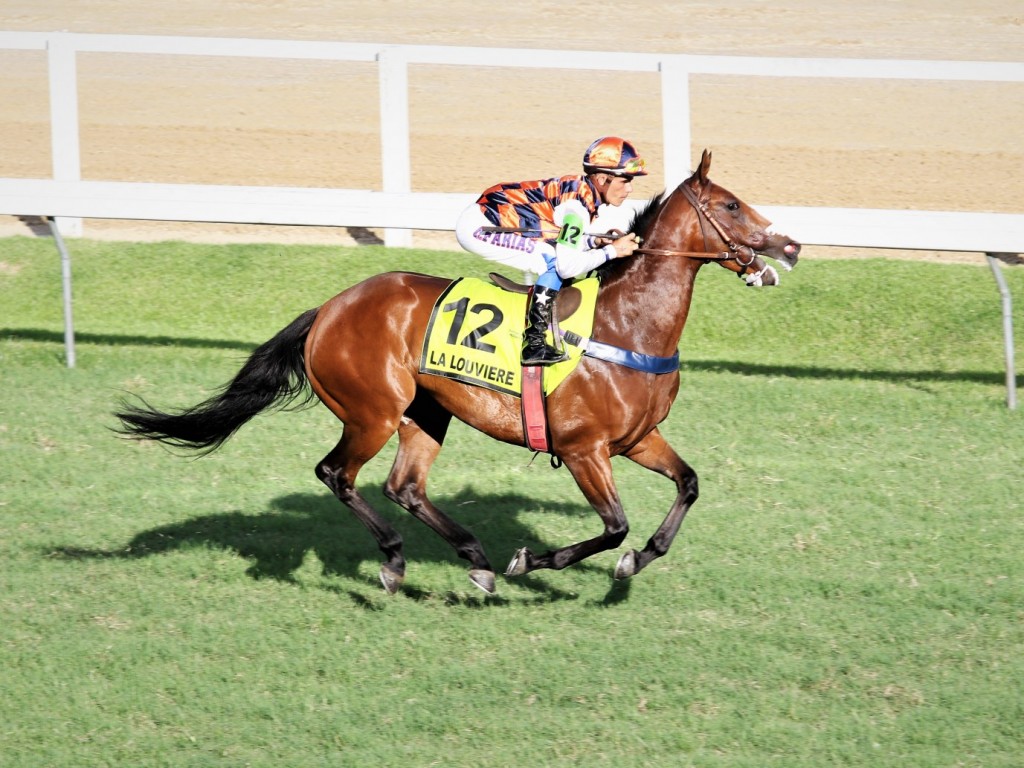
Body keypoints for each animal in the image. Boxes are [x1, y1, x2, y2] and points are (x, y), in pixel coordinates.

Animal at [114, 150, 798, 593]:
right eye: (731, 205)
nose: (789, 245)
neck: (627, 324)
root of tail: (330, 308)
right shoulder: (585, 449)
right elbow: (613, 525)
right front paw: (535, 560)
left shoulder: (638, 439)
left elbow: (688, 486)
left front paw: (636, 561)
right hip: (373, 411)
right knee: (337, 474)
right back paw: (396, 560)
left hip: (426, 412)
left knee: (405, 487)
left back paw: (475, 558)